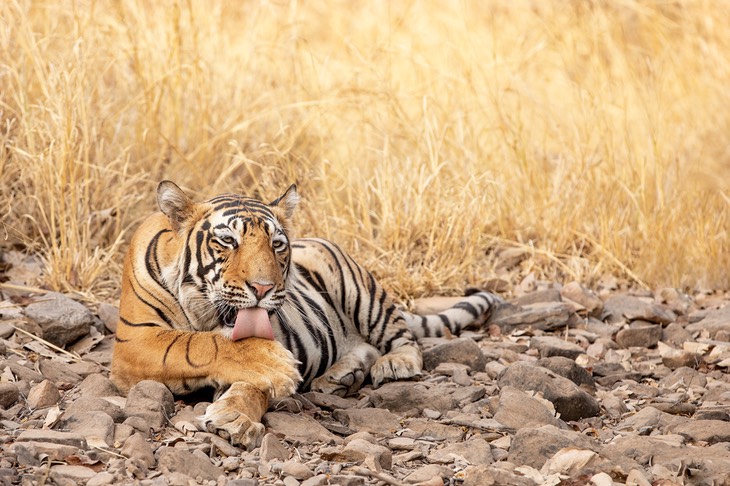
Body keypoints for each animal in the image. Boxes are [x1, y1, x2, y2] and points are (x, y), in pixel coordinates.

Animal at [111, 181, 504, 448]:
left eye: (276, 244)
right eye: (228, 241)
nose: (263, 288)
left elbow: (245, 380)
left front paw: (235, 417)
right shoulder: (135, 340)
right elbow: (196, 345)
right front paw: (274, 367)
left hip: (360, 292)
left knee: (401, 337)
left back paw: (393, 364)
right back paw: (341, 375)